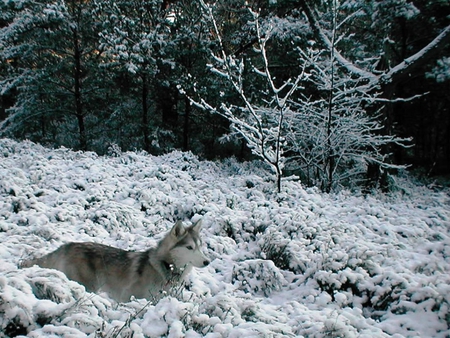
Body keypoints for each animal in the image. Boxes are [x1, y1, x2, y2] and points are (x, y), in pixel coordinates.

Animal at [20, 220, 210, 302]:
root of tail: (68, 245)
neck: (165, 266)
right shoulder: (128, 296)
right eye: (189, 248)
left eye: (200, 246)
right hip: (88, 286)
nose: (207, 262)